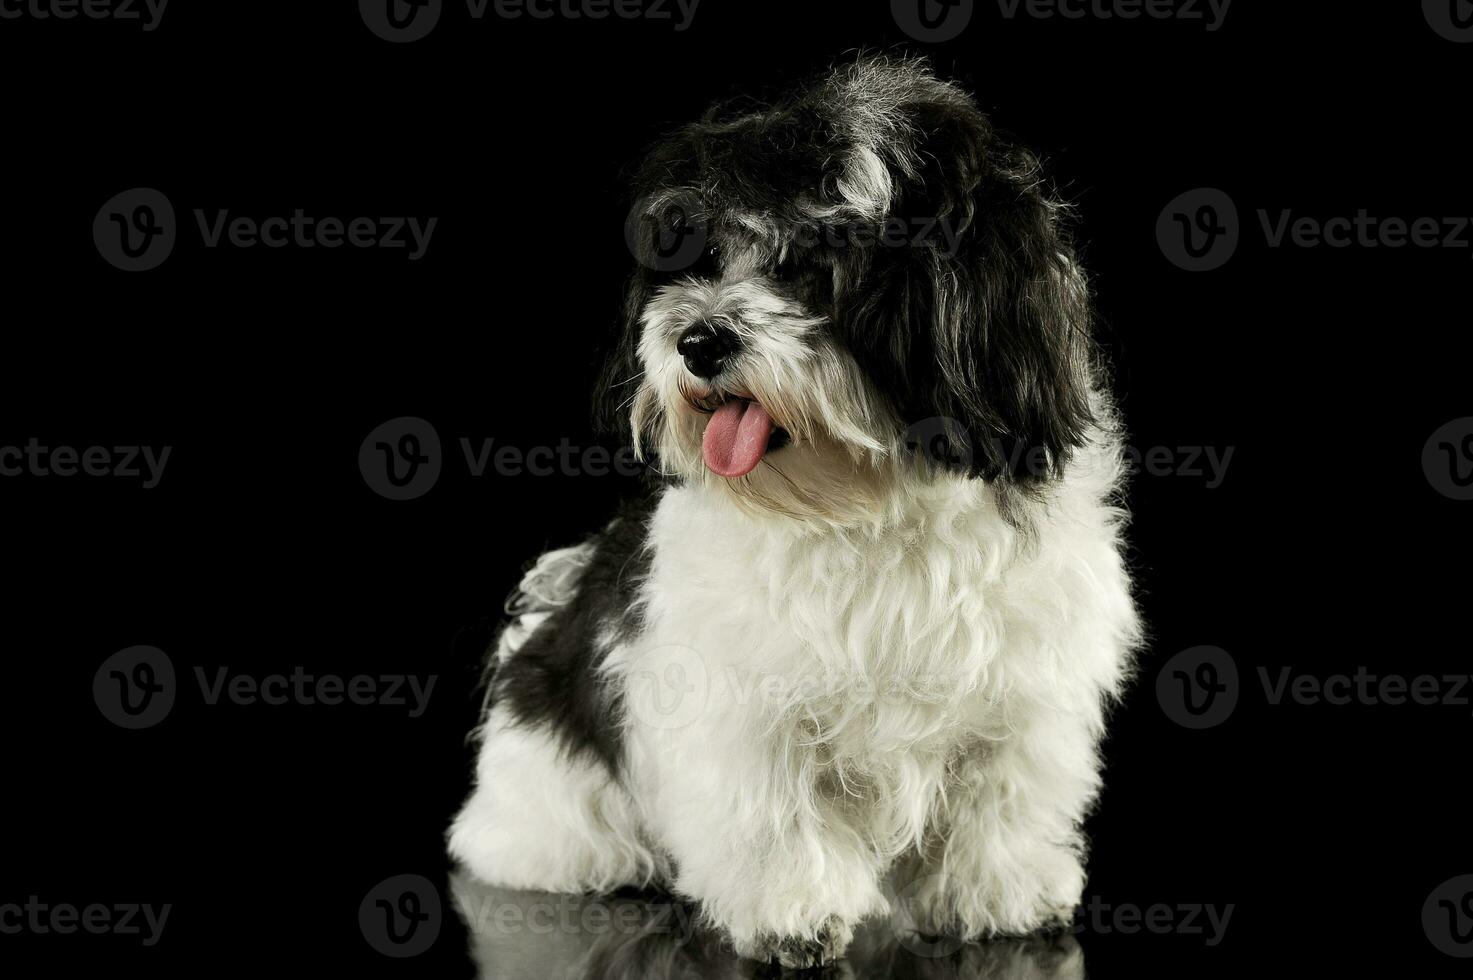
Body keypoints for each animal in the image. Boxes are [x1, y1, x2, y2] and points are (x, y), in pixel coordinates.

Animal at [444, 53, 1137, 960]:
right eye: (697, 257)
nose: (698, 340)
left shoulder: (1021, 695)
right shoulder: (739, 704)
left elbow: (1001, 796)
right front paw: (793, 911)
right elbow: (771, 810)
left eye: (814, 259)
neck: (865, 506)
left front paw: (998, 896)